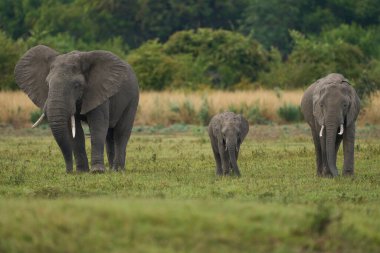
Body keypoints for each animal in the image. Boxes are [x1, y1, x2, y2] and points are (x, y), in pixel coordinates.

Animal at [14, 44, 140, 173]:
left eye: (76, 85)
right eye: (47, 84)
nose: (68, 171)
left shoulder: (99, 90)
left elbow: (98, 126)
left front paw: (97, 171)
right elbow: (74, 131)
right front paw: (82, 172)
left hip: (133, 97)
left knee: (121, 132)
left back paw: (118, 170)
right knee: (109, 135)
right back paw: (111, 170)